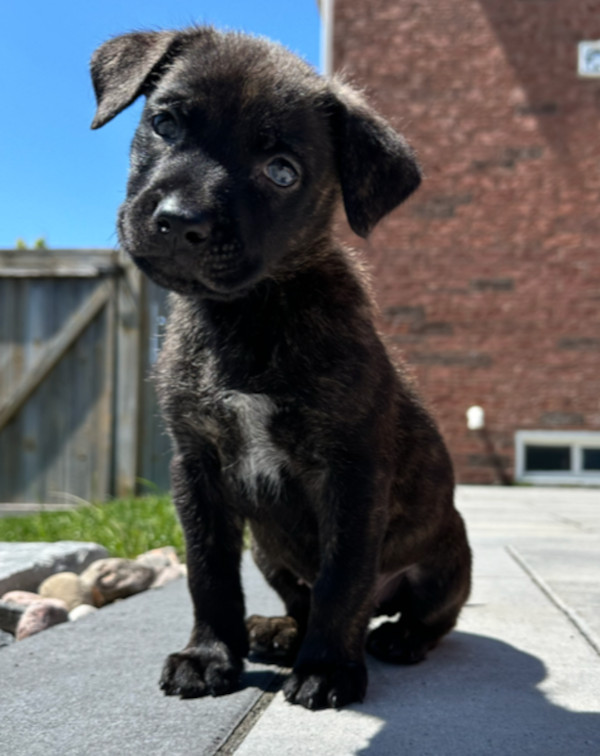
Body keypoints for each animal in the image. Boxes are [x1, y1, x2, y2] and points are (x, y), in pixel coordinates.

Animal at [91, 26, 472, 712]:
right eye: (164, 123)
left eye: (282, 172)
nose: (179, 220)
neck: (250, 313)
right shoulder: (197, 469)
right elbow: (209, 573)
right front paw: (210, 656)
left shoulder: (351, 474)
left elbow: (343, 580)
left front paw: (328, 668)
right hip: (270, 549)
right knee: (299, 596)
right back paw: (279, 632)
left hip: (449, 555)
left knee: (429, 614)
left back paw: (396, 637)